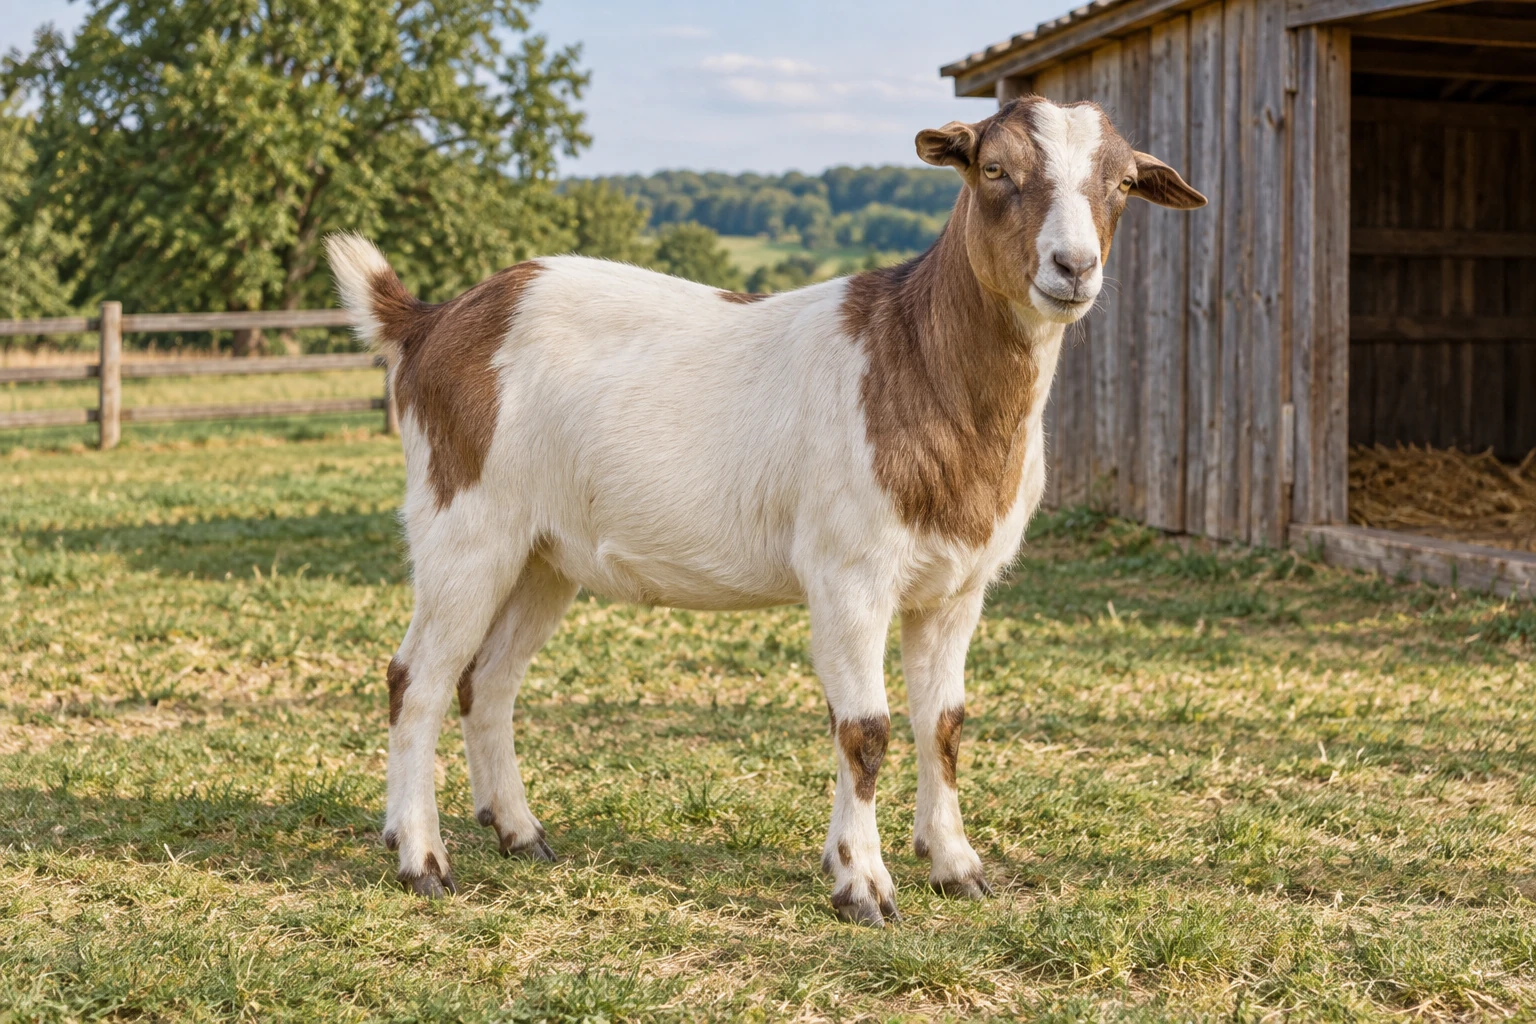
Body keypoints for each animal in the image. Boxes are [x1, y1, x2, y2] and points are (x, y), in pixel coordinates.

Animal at [327, 96, 1205, 926]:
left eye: (1122, 184)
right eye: (994, 169)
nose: (1073, 266)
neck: (915, 362)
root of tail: (431, 321)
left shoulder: (959, 586)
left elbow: (944, 723)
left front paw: (956, 867)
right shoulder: (849, 571)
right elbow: (866, 729)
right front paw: (864, 886)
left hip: (542, 552)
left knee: (489, 680)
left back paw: (518, 831)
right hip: (463, 521)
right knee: (418, 678)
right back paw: (421, 859)